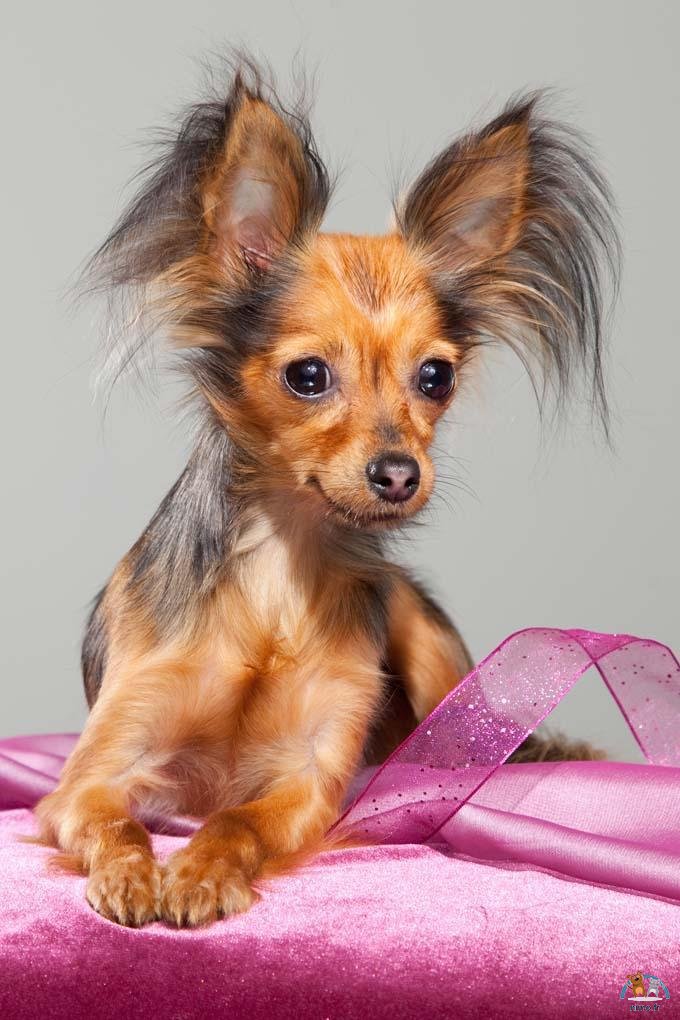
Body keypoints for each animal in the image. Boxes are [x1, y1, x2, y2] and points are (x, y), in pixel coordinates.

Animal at [36, 55, 618, 927]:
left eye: (435, 377)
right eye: (307, 376)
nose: (399, 474)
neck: (281, 569)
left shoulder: (309, 779)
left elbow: (236, 820)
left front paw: (201, 873)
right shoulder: (92, 777)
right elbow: (114, 823)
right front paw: (133, 875)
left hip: (429, 653)